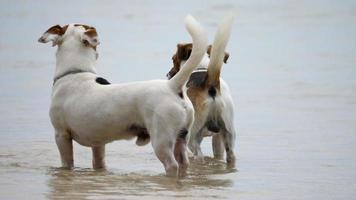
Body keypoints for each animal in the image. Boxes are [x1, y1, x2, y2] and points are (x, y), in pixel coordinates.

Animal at [37, 15, 207, 177]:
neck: (75, 72)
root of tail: (171, 86)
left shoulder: (61, 135)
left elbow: (67, 163)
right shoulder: (98, 143)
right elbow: (98, 163)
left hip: (162, 139)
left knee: (172, 165)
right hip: (182, 138)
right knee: (184, 163)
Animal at [166, 16, 236, 167]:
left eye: (173, 59)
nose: (168, 75)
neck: (201, 67)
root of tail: (210, 85)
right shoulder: (218, 139)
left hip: (193, 137)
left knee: (198, 155)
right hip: (228, 133)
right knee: (231, 155)